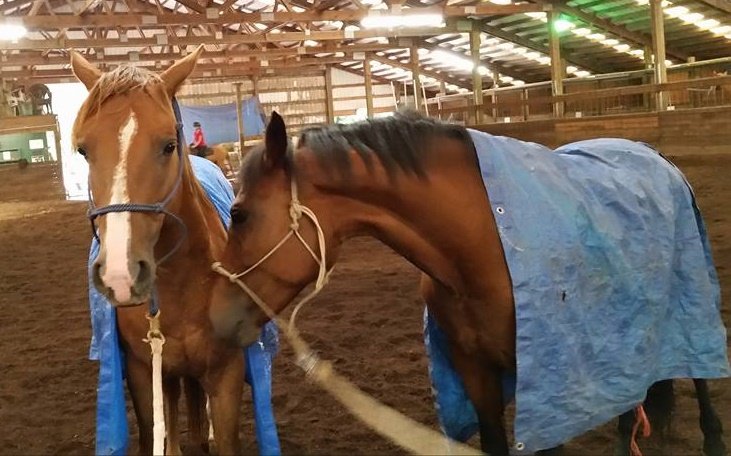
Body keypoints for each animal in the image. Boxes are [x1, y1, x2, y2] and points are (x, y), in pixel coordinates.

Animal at [70, 47, 246, 454]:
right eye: (83, 150)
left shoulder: (226, 373)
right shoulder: (141, 370)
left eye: (168, 145)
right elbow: (159, 429)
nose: (120, 275)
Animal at [209, 111, 729, 455]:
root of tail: (652, 154)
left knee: (701, 374)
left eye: (240, 213)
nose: (218, 318)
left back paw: (712, 434)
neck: (480, 240)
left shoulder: (544, 379)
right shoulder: (474, 369)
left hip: (693, 299)